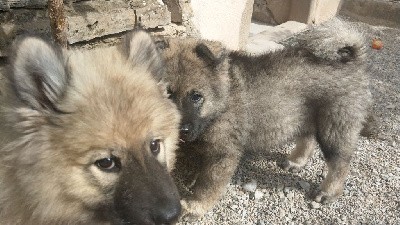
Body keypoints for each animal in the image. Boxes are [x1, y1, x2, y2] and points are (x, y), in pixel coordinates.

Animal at [156, 19, 372, 218]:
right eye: (167, 93)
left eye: (196, 96)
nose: (181, 130)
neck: (222, 100)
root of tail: (351, 62)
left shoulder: (222, 154)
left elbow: (207, 185)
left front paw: (195, 206)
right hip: (305, 114)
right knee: (308, 139)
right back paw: (296, 162)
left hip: (335, 126)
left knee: (340, 162)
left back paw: (329, 192)